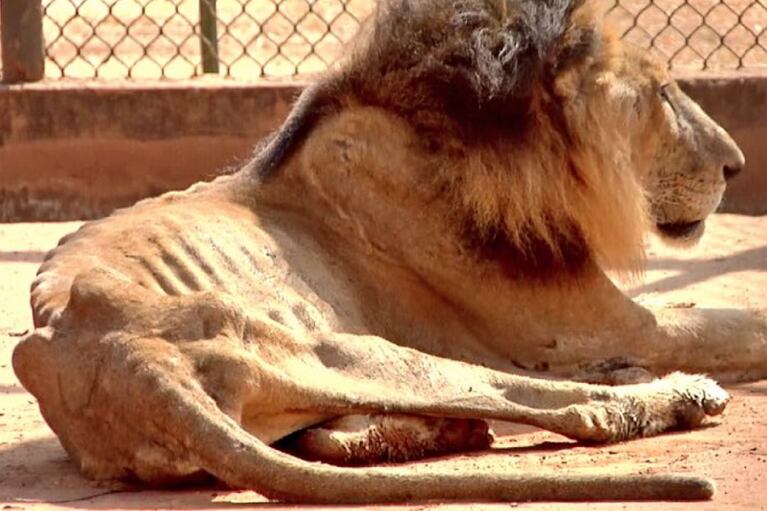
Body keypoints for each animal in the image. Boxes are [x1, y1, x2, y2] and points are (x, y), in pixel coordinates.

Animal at [9, 0, 764, 504]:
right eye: (663, 92)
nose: (736, 165)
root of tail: (129, 365)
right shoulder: (604, 325)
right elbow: (740, 325)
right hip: (347, 347)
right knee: (556, 403)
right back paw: (677, 393)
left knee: (341, 434)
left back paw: (437, 435)